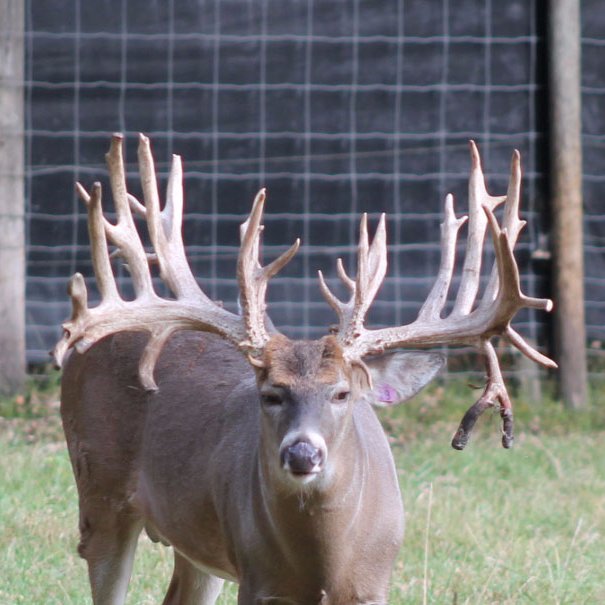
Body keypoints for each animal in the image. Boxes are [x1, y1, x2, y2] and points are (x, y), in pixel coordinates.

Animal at [54, 133, 556, 604]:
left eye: (342, 393)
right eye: (270, 395)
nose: (302, 453)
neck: (325, 565)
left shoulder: (374, 585)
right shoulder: (258, 581)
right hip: (99, 492)